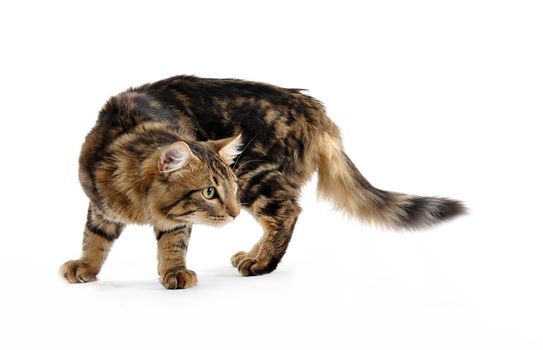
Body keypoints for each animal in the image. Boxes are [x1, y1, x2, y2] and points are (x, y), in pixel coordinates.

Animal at [61, 75, 466, 288]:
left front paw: (175, 273)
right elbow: (94, 239)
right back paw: (253, 254)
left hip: (256, 174)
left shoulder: (178, 221)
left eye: (221, 190)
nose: (233, 211)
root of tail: (313, 109)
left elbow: (173, 245)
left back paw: (261, 263)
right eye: (210, 191)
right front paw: (86, 267)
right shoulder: (99, 205)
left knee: (288, 213)